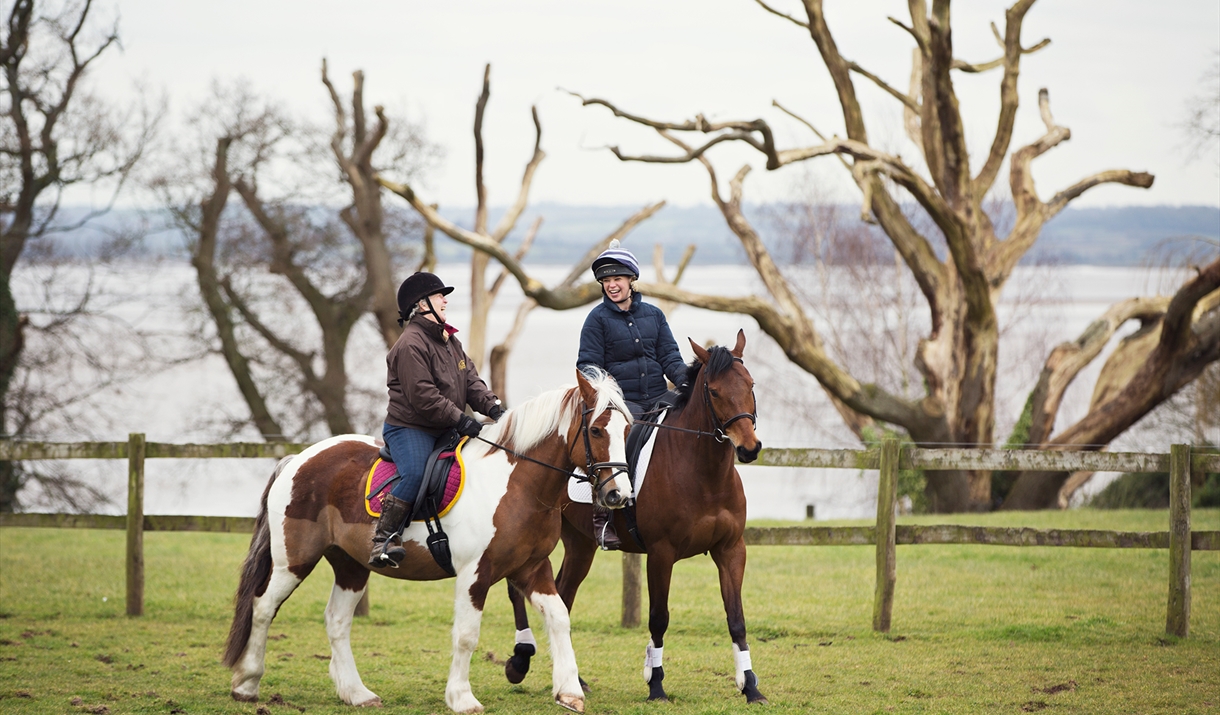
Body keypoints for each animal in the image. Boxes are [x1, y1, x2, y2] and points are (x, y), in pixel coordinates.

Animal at [220, 370, 634, 707]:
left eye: (627, 431)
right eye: (596, 431)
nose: (619, 495)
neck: (516, 484)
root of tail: (298, 459)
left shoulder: (531, 568)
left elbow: (560, 617)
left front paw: (569, 692)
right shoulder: (475, 574)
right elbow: (466, 635)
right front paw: (462, 698)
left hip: (351, 565)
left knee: (336, 621)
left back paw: (357, 693)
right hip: (294, 561)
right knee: (263, 607)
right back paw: (247, 683)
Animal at [502, 329, 766, 702]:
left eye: (750, 384)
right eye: (714, 391)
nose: (749, 447)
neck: (704, 473)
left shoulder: (730, 550)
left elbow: (736, 618)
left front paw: (751, 686)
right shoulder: (661, 553)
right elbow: (658, 618)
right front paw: (656, 683)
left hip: (580, 544)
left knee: (562, 596)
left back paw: (573, 679)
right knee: (518, 588)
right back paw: (520, 661)